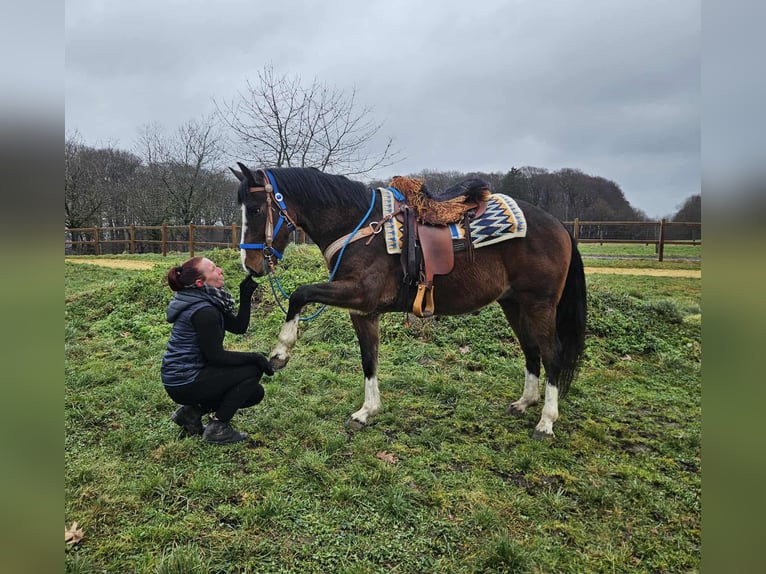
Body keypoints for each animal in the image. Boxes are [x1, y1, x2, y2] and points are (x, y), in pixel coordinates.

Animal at [232, 164, 586, 439]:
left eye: (255, 209)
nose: (250, 265)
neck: (359, 227)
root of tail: (558, 225)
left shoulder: (359, 293)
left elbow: (299, 293)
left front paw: (280, 352)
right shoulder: (363, 311)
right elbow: (369, 359)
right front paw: (367, 411)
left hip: (540, 305)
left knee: (551, 354)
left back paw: (546, 422)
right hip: (513, 303)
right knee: (530, 349)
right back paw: (525, 402)